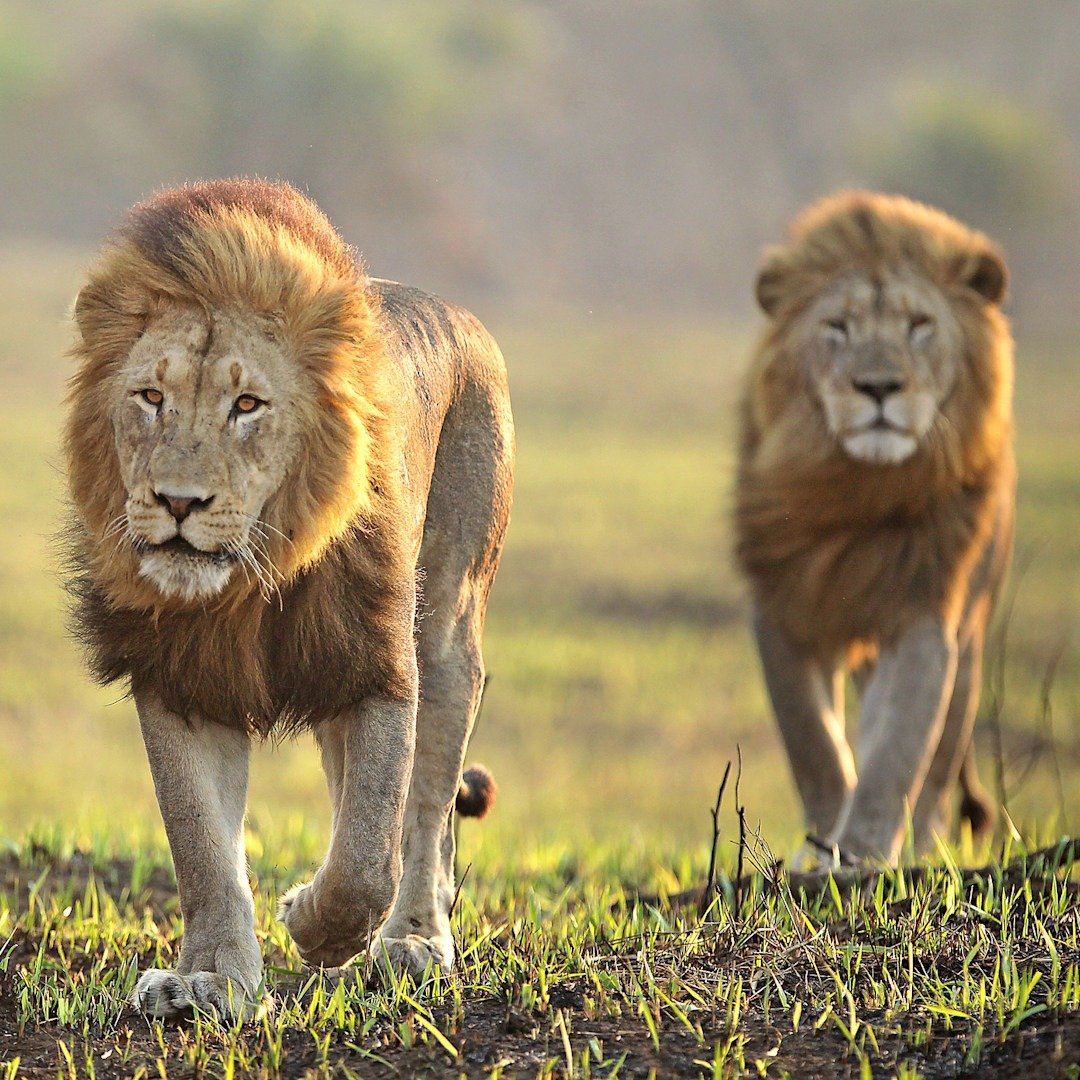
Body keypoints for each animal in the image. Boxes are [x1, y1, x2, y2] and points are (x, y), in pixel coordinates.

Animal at [63, 179, 514, 1018]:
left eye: (247, 405)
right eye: (150, 396)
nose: (177, 502)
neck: (248, 584)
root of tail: (460, 315)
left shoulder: (379, 662)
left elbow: (368, 853)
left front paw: (313, 924)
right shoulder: (182, 675)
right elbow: (202, 845)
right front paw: (209, 981)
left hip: (448, 629)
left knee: (427, 810)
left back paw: (414, 942)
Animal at [734, 191, 1014, 866]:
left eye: (920, 325)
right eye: (837, 326)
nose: (880, 386)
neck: (856, 492)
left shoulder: (923, 615)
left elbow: (898, 750)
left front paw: (862, 852)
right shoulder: (781, 607)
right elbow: (812, 742)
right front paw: (821, 847)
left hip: (971, 634)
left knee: (940, 757)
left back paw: (924, 848)